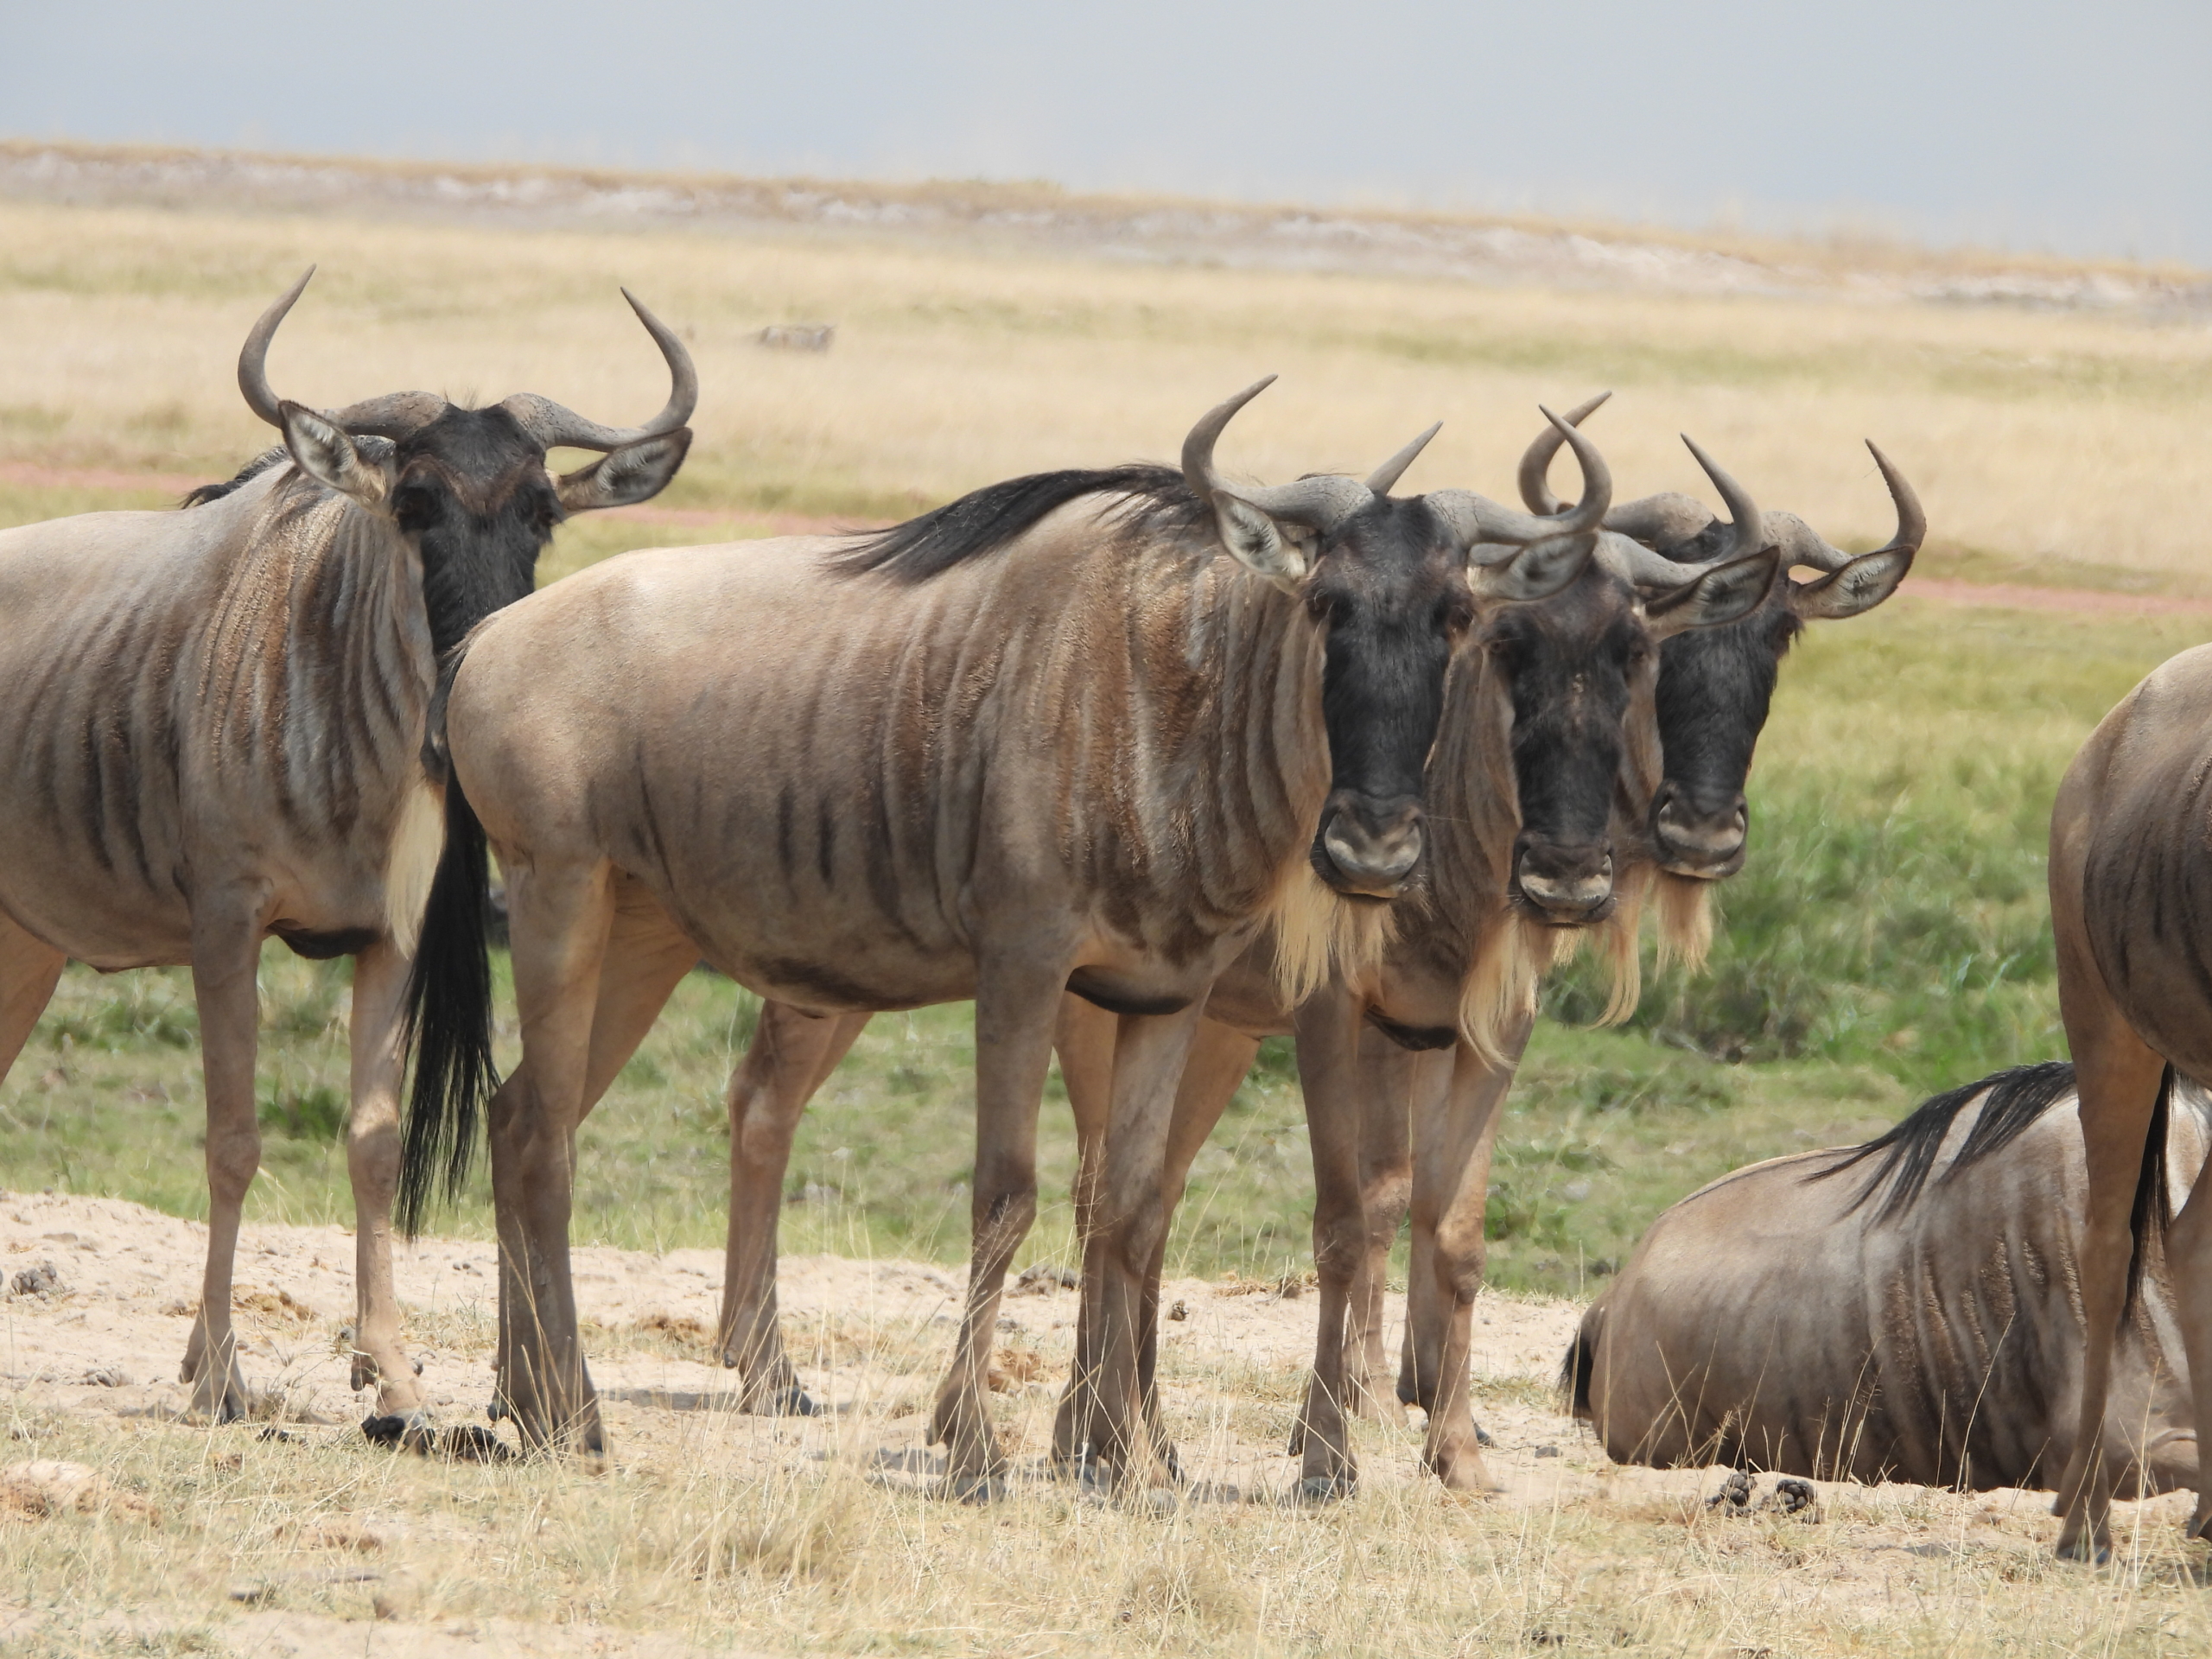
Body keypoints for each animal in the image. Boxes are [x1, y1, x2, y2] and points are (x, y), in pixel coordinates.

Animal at [0, 270, 693, 1426]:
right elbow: (233, 1140)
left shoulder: (389, 940)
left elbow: (373, 1142)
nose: (471, 698)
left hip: (26, 949)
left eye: (541, 514)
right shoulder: (225, 926)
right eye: (414, 507)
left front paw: (395, 1372)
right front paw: (218, 1372)